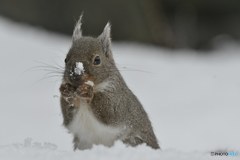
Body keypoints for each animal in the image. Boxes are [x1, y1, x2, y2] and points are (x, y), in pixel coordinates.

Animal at [58, 15, 159, 151]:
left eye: (97, 60)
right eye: (65, 59)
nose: (75, 75)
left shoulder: (118, 101)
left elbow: (109, 113)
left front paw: (88, 92)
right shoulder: (72, 121)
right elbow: (68, 118)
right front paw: (66, 91)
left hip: (132, 140)